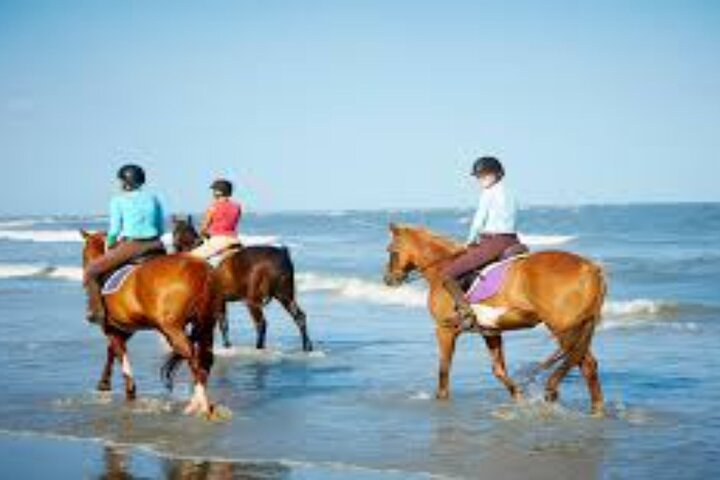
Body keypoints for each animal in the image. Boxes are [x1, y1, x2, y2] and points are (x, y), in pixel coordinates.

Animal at [80, 230, 222, 416]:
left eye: (84, 255)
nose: (85, 272)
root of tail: (202, 269)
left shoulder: (112, 328)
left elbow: (120, 357)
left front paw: (124, 388)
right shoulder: (124, 329)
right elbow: (112, 351)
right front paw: (105, 383)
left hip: (173, 330)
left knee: (192, 358)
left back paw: (200, 404)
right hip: (206, 324)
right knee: (205, 359)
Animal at [171, 216, 313, 352]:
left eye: (175, 231)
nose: (173, 246)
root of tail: (282, 253)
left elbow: (218, 323)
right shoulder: (220, 300)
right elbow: (223, 323)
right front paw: (227, 345)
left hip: (253, 300)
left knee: (261, 324)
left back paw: (259, 347)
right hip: (284, 295)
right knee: (299, 317)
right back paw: (307, 346)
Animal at [383, 223, 606, 415]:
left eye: (391, 250)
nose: (388, 279)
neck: (441, 268)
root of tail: (591, 267)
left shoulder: (444, 330)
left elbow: (444, 369)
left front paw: (441, 398)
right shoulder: (490, 330)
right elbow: (498, 369)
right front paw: (518, 397)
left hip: (564, 328)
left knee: (585, 363)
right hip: (578, 329)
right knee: (585, 363)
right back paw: (594, 408)